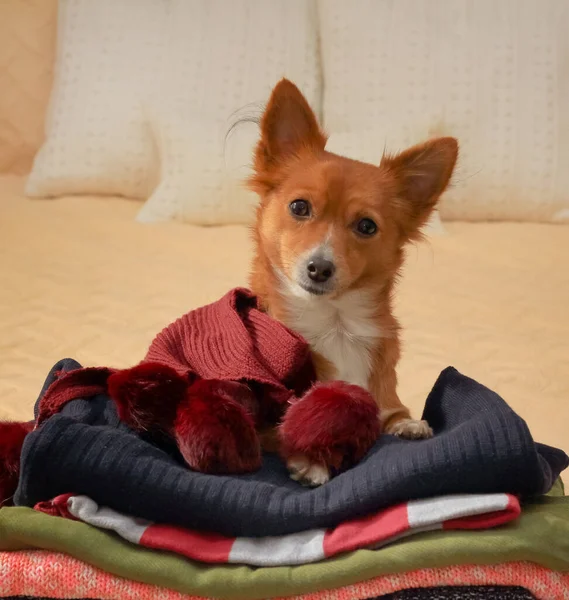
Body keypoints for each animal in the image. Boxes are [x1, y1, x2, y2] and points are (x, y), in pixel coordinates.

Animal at [248, 79, 458, 486]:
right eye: (299, 207)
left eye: (366, 226)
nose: (319, 267)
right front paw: (311, 459)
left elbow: (393, 410)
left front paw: (406, 423)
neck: (336, 324)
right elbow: (284, 429)